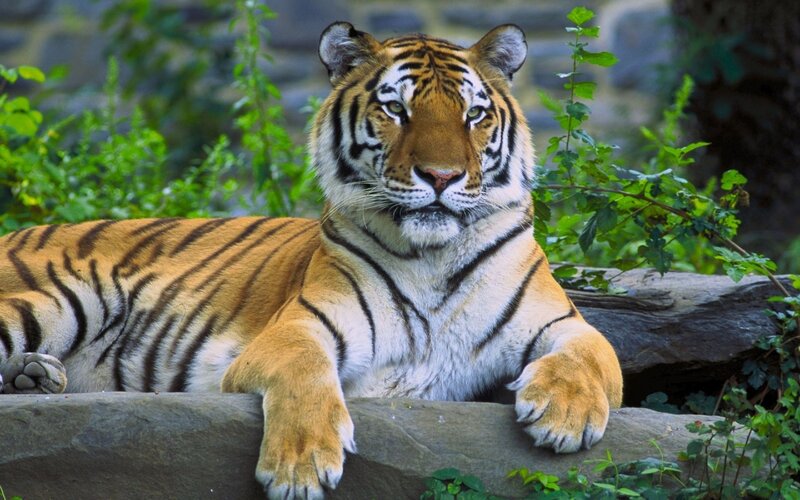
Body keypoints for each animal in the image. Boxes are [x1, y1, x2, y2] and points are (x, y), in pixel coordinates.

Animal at [0, 22, 623, 499]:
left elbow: (595, 356)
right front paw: (299, 467)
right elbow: (305, 371)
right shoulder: (298, 326)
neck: (432, 257)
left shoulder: (561, 322)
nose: (442, 176)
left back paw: (36, 376)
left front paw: (565, 417)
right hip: (70, 296)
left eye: (473, 115)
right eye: (396, 109)